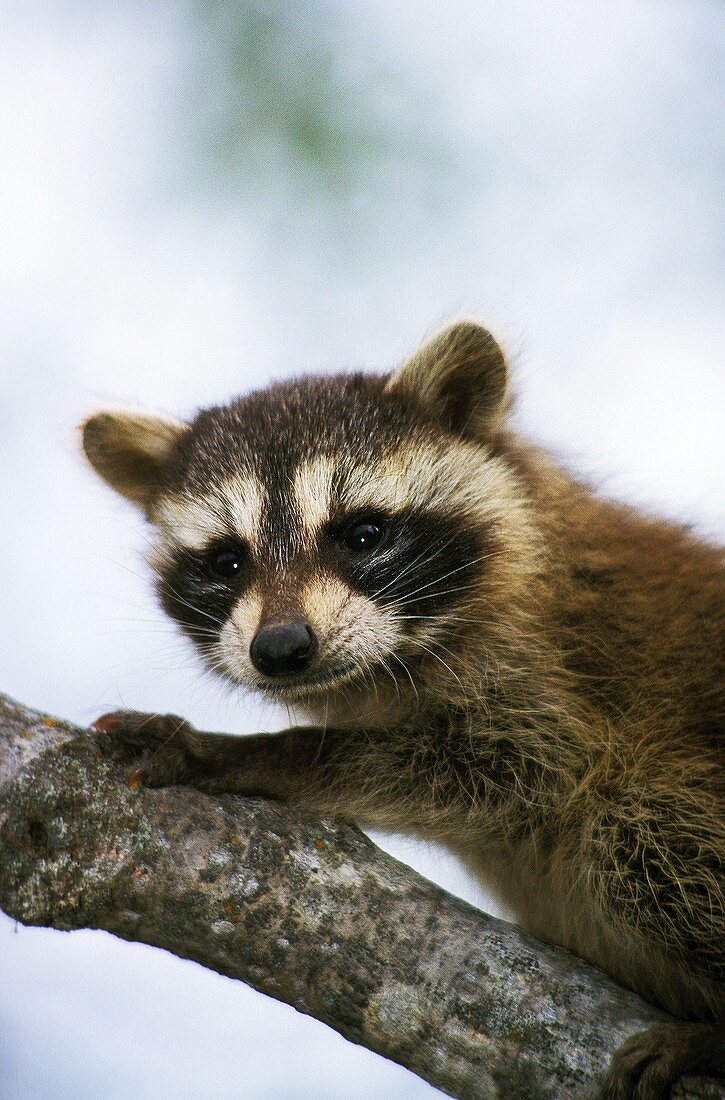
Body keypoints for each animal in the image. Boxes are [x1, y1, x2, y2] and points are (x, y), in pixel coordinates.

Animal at [82, 321, 721, 1095]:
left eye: (363, 534)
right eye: (228, 561)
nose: (281, 647)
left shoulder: (558, 669)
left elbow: (516, 772)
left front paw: (247, 754)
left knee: (637, 822)